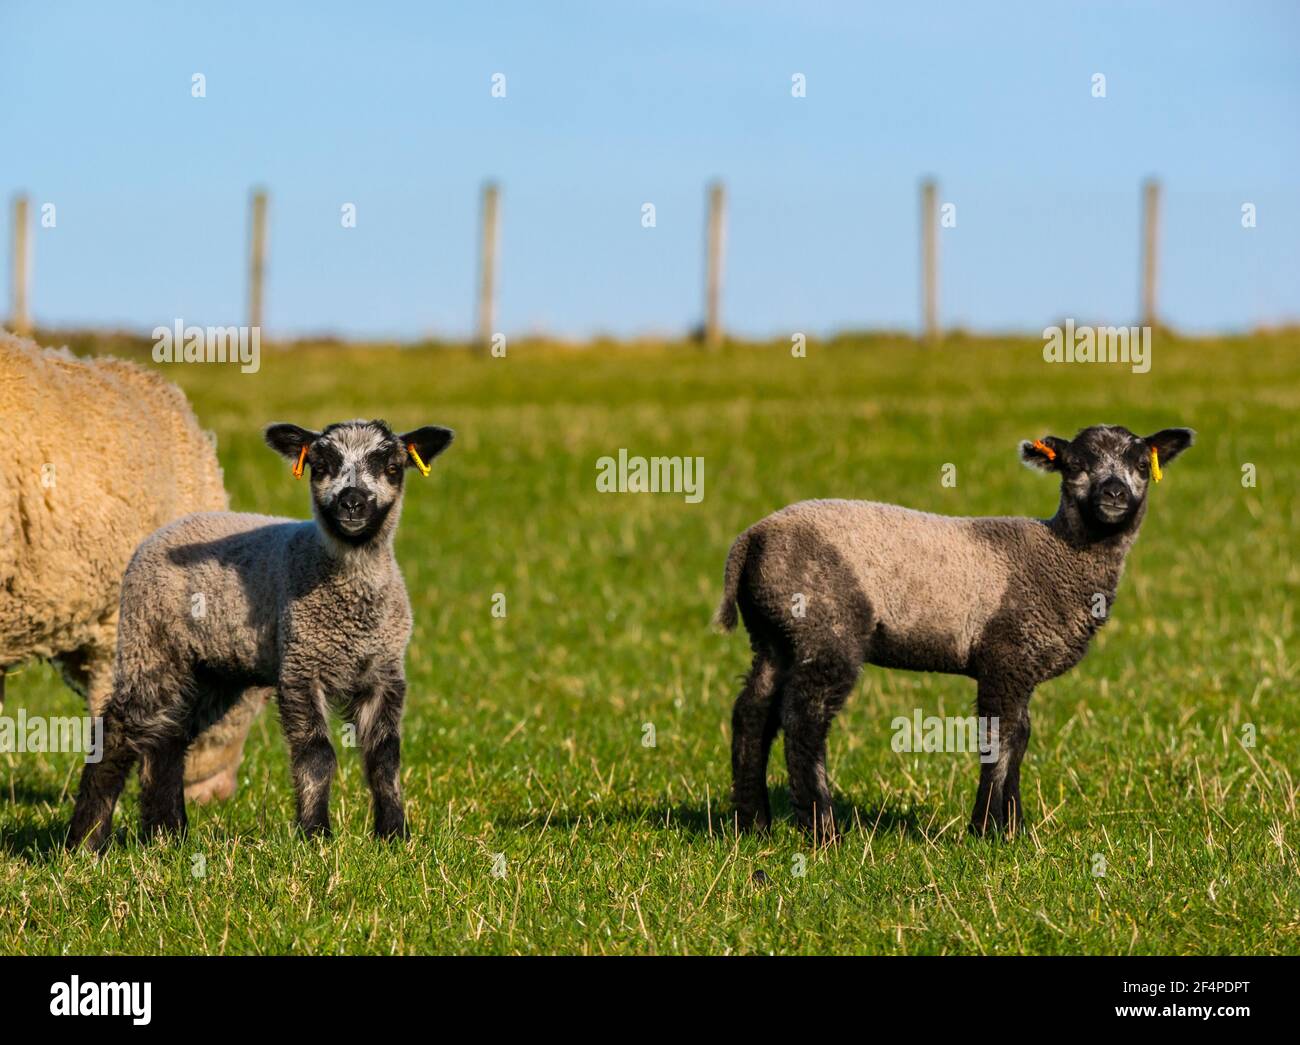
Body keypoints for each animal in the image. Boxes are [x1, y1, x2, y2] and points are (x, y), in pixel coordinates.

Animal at [72, 415, 457, 847]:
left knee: (167, 740)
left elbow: (385, 757)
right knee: (118, 733)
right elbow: (316, 755)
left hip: (208, 671)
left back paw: (168, 835)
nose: (352, 502)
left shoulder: (385, 673)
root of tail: (161, 532)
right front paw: (316, 835)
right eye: (320, 465)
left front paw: (394, 835)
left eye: (392, 467)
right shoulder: (301, 666)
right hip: (149, 643)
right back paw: (85, 840)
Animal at [717, 423, 1190, 842]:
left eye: (1141, 466)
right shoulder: (1006, 655)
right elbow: (998, 738)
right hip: (826, 627)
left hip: (775, 634)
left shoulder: (1020, 665)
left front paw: (1014, 829)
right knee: (804, 720)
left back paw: (752, 825)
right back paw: (823, 831)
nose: (1114, 494)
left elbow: (1019, 736)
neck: (1060, 554)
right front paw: (985, 831)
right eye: (1075, 465)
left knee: (752, 712)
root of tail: (751, 539)